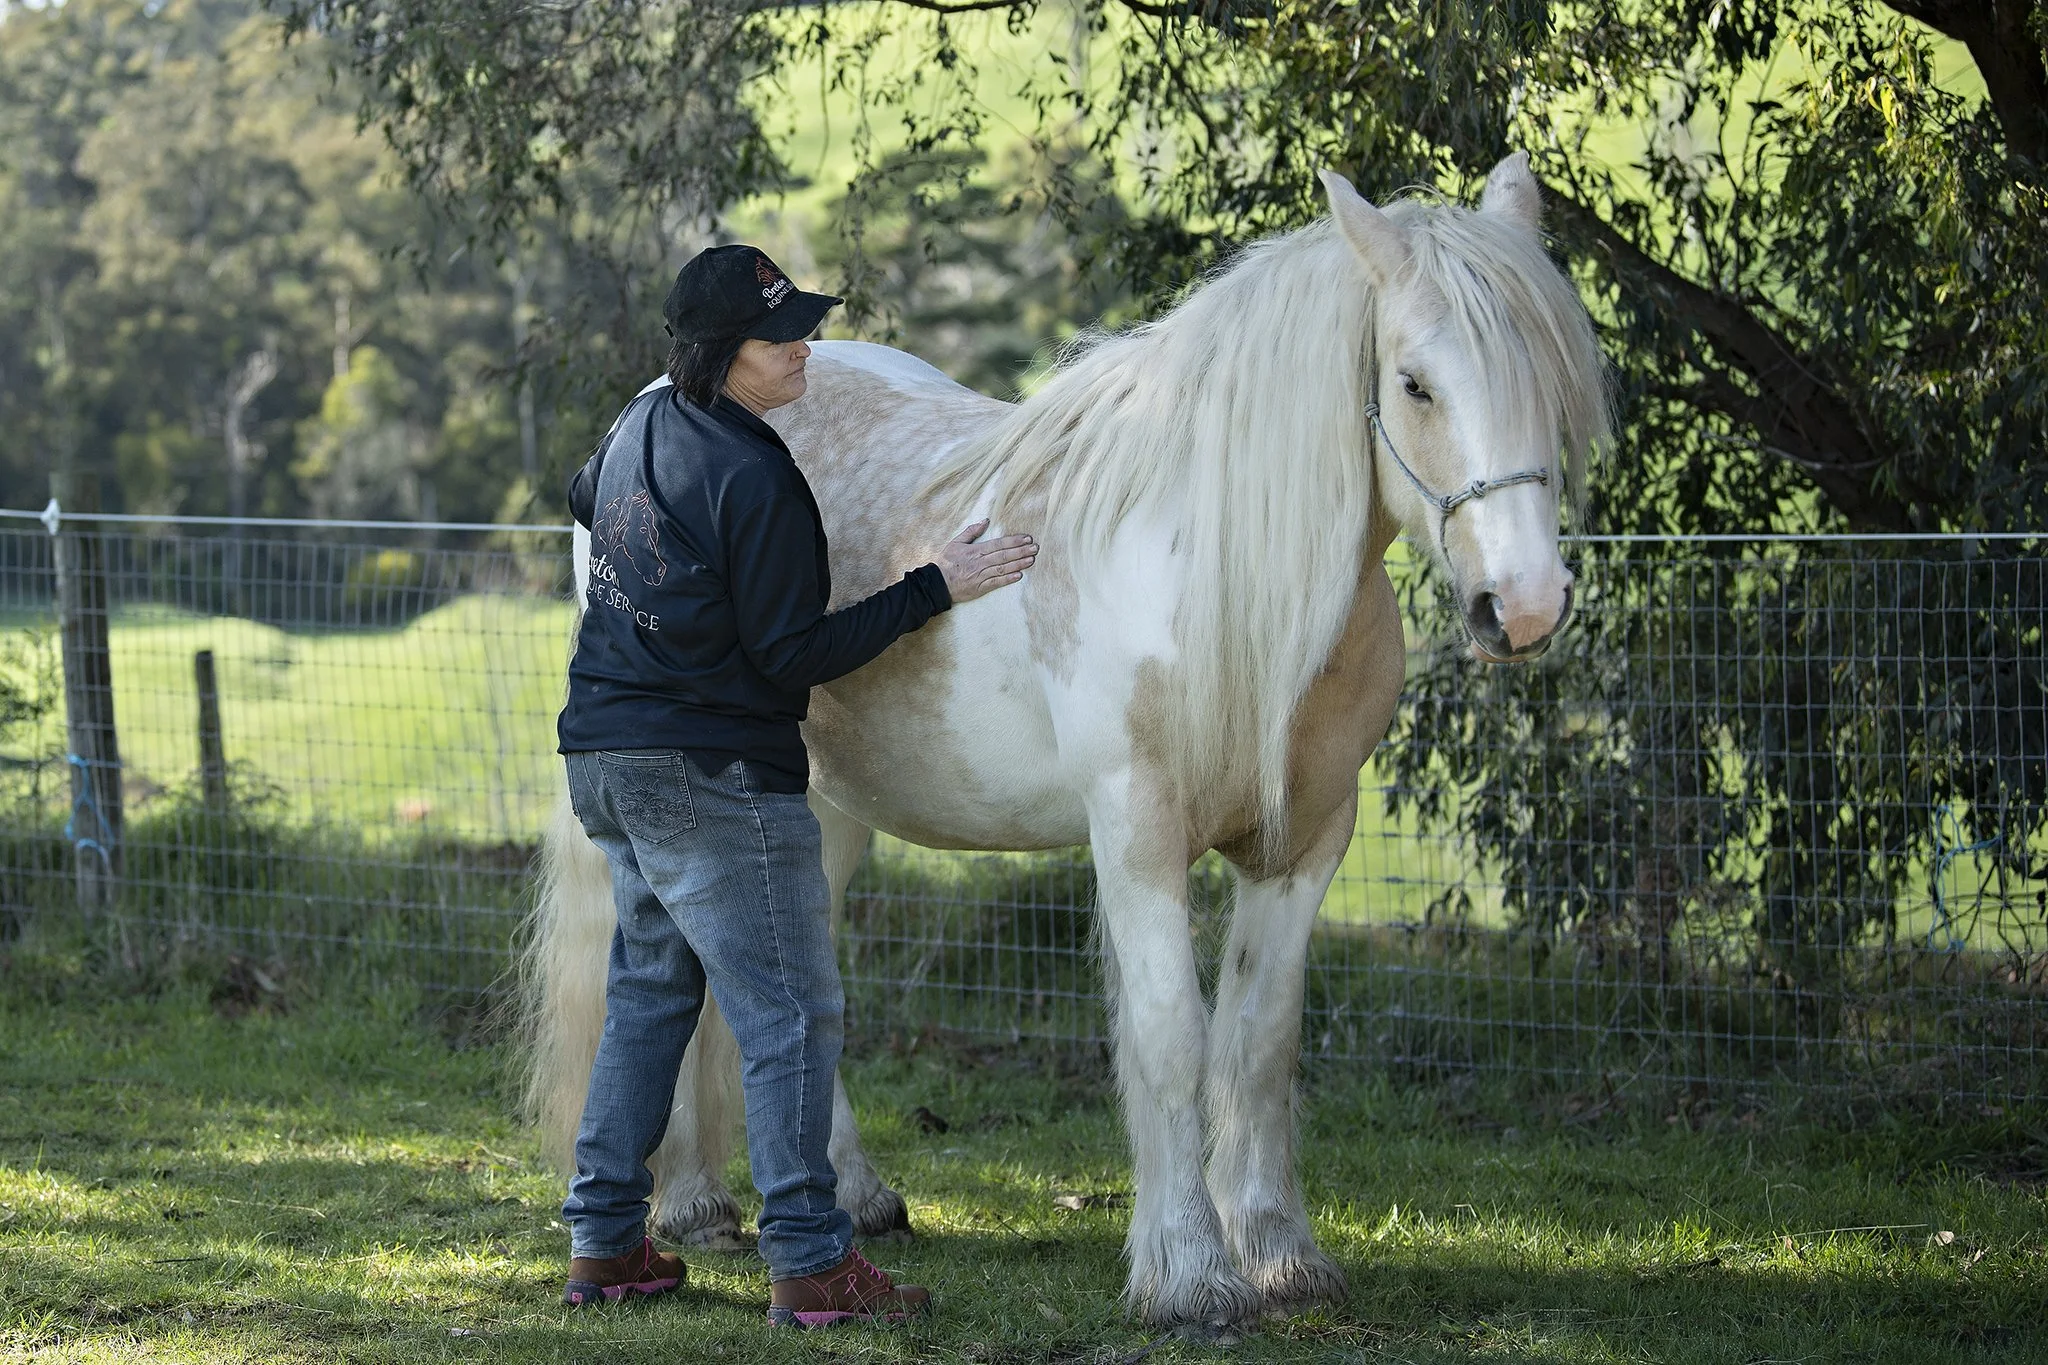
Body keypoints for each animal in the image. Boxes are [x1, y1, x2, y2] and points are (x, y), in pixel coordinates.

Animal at [524, 153, 1608, 1328]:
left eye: (1553, 377)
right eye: (1413, 383)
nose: (1526, 605)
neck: (1211, 564)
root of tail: (637, 423)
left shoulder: (1304, 845)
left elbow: (1259, 1042)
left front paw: (1280, 1252)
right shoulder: (1136, 829)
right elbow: (1172, 1037)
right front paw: (1191, 1274)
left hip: (819, 807)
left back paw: (843, 1197)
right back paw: (689, 1203)